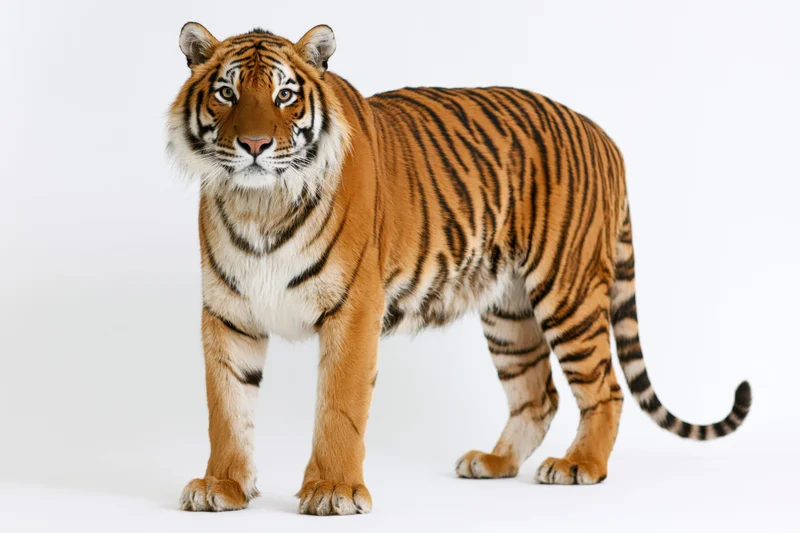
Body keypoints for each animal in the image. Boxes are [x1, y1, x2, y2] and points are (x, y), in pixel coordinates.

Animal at [167, 22, 752, 516]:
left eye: (285, 95)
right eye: (226, 93)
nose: (255, 145)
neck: (259, 203)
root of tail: (606, 139)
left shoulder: (354, 310)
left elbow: (339, 407)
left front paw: (333, 491)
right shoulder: (228, 313)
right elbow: (227, 408)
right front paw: (222, 486)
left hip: (568, 291)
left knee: (604, 387)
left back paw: (579, 465)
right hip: (508, 311)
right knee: (538, 394)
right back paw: (493, 463)